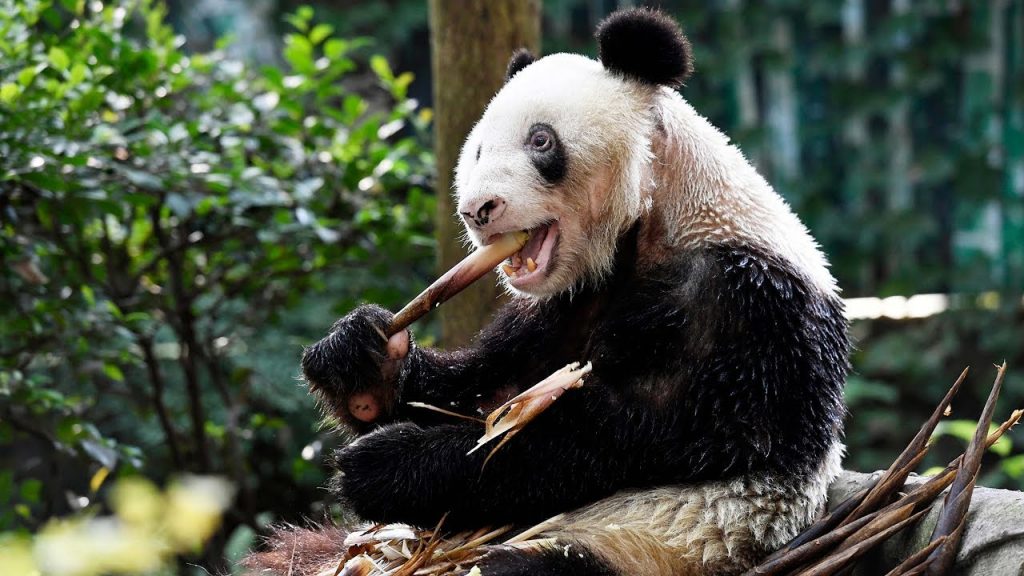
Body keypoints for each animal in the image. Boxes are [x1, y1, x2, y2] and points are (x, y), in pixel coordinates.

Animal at [245, 8, 848, 576]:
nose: (478, 210)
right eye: (479, 150)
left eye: (541, 141)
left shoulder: (741, 311)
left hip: (655, 544)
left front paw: (387, 465)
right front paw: (361, 360)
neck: (656, 219)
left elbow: (620, 438)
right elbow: (491, 392)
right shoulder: (566, 301)